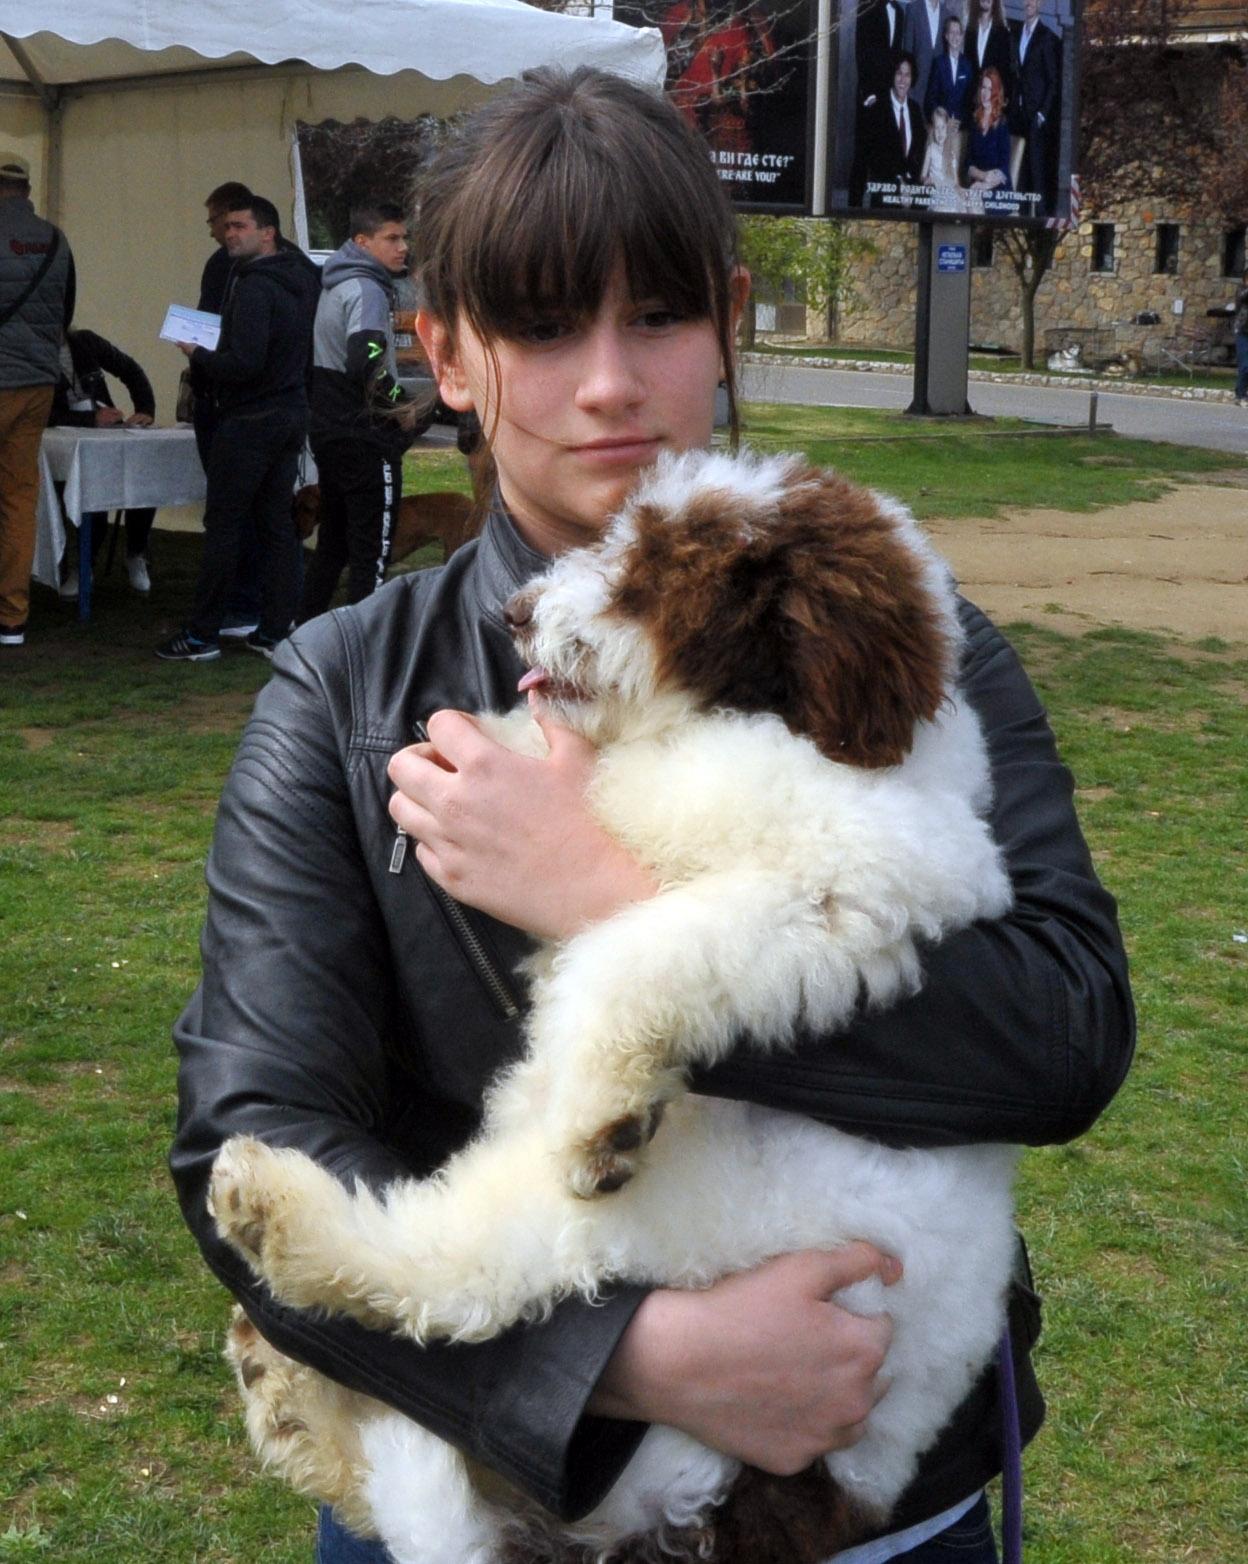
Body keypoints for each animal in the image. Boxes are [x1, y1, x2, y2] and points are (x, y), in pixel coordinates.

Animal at [209, 450, 1019, 1564]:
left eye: (649, 574)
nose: (512, 613)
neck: (785, 726)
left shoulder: (849, 887)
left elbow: (635, 946)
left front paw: (598, 1103)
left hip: (654, 1230)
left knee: (449, 1274)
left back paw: (277, 1213)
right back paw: (282, 1387)